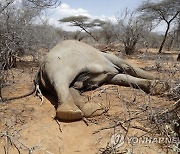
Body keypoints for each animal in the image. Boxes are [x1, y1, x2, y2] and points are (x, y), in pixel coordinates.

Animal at [36, 40, 167, 121]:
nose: (83, 76)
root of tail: (40, 67)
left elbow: (121, 78)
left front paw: (159, 86)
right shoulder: (110, 59)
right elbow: (127, 67)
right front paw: (163, 84)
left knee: (69, 88)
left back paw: (93, 110)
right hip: (59, 63)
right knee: (61, 82)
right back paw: (71, 112)